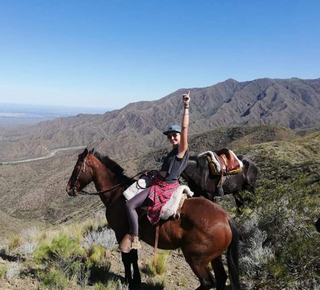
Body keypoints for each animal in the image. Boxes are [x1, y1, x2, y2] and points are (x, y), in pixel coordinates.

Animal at [65, 150, 240, 290]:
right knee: (221, 278)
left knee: (208, 282)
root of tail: (226, 218)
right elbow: (134, 257)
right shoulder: (132, 234)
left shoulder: (120, 232)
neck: (116, 194)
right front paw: (136, 279)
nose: (68, 189)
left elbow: (126, 258)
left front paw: (128, 280)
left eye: (77, 167)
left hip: (196, 259)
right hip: (215, 256)